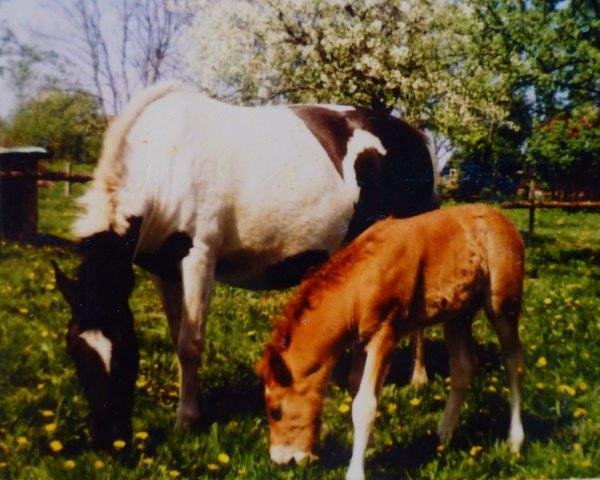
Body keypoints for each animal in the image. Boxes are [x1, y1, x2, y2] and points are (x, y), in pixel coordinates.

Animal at [51, 83, 438, 450]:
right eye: (74, 350)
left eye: (125, 348)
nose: (109, 441)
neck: (166, 160)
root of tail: (416, 137)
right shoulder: (163, 270)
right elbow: (177, 337)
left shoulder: (199, 257)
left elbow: (190, 343)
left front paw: (187, 419)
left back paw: (416, 378)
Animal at [256, 203, 524, 480]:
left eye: (275, 411)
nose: (280, 460)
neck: (363, 278)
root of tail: (501, 217)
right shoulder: (362, 340)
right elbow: (355, 386)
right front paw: (370, 444)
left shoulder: (384, 334)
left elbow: (365, 404)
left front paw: (356, 471)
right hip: (458, 316)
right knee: (463, 368)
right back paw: (444, 433)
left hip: (504, 304)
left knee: (514, 362)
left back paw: (515, 441)